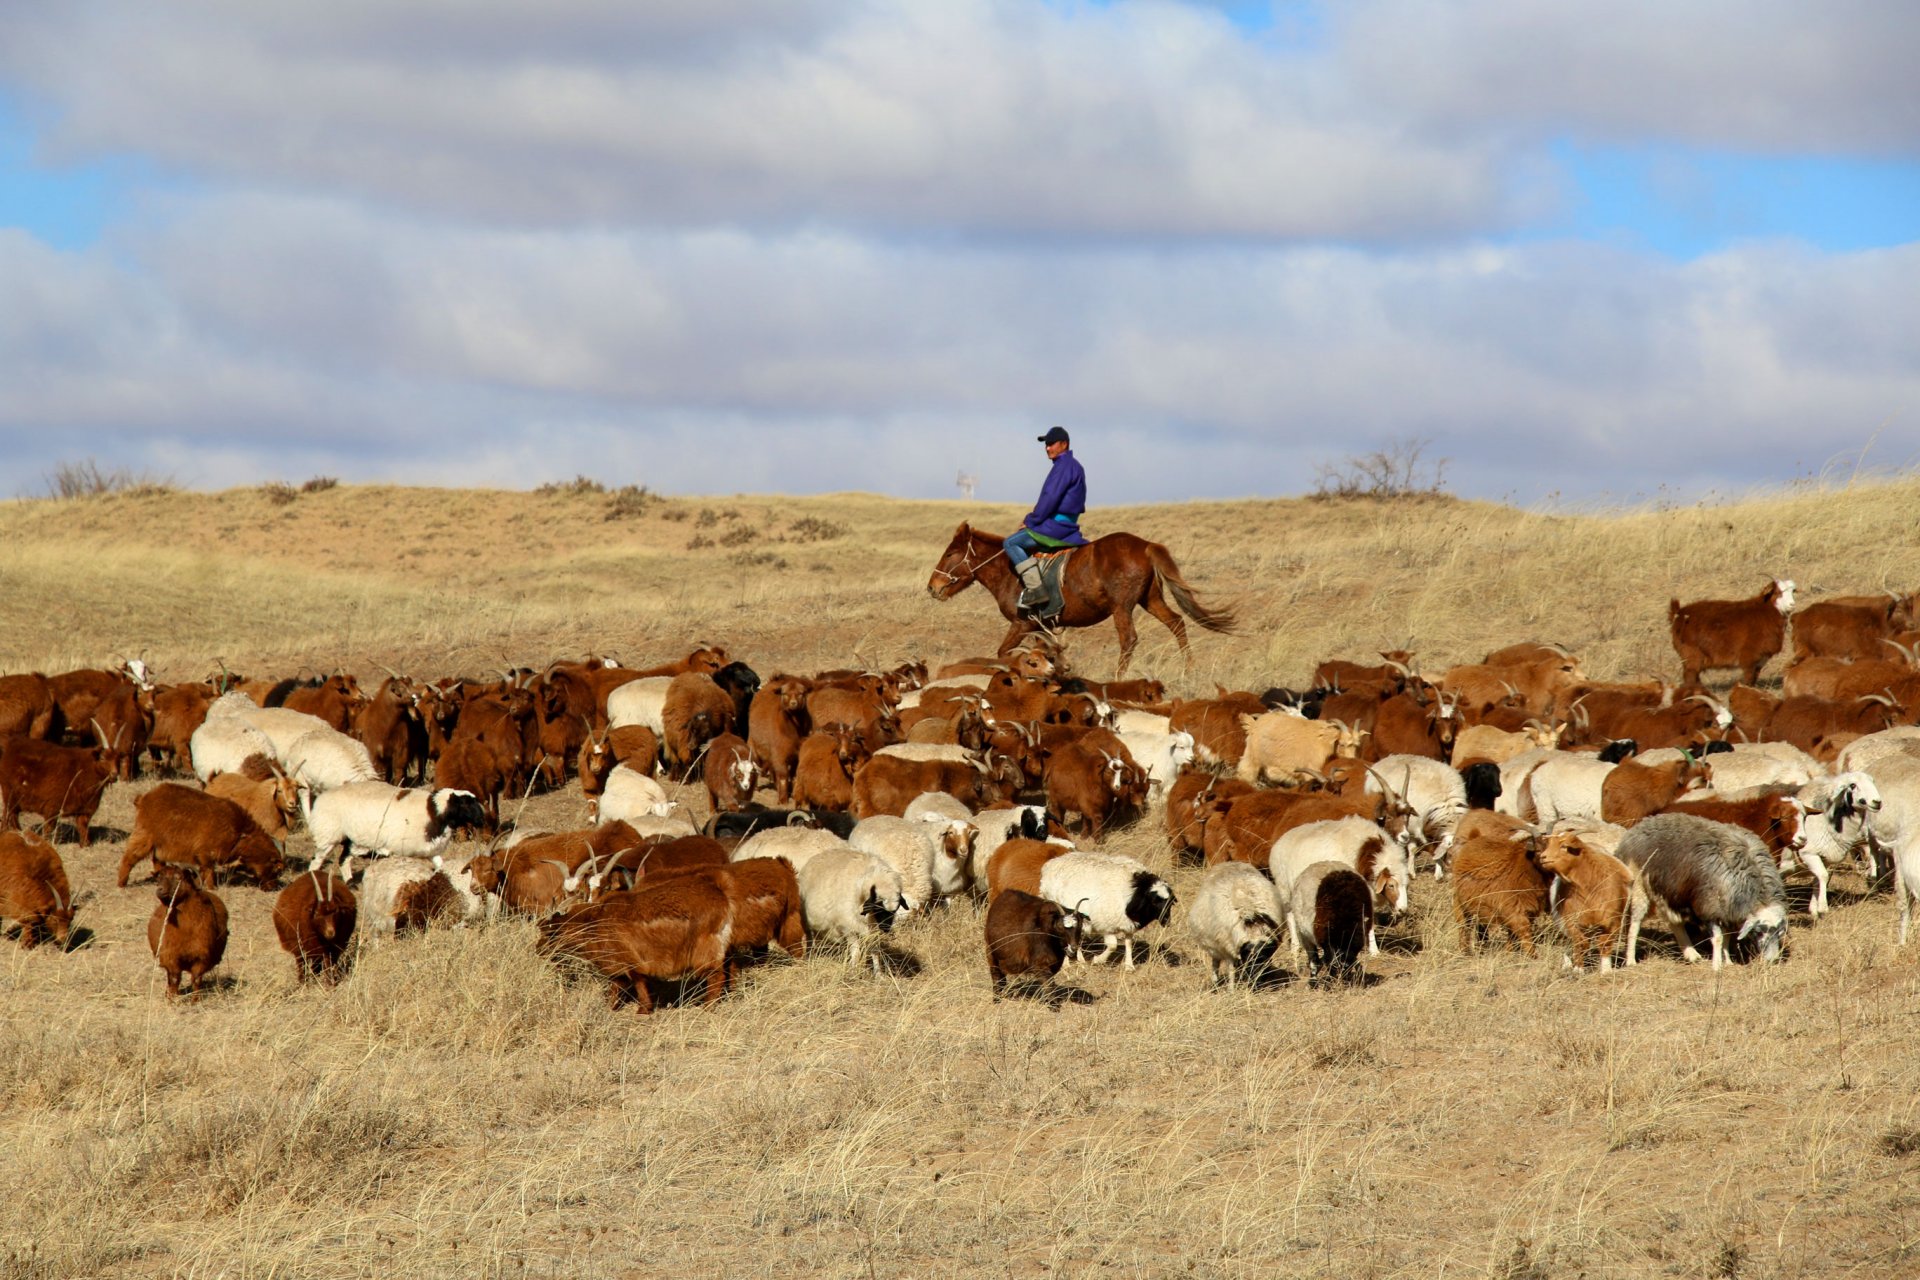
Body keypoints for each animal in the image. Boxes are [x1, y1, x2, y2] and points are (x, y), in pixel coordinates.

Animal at [301, 782, 491, 871]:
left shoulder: (431, 851)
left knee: (344, 859)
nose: (482, 820)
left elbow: (440, 866)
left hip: (355, 840)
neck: (435, 812)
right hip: (327, 834)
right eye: (466, 803)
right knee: (316, 860)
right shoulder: (399, 850)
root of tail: (321, 797)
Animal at [933, 521, 1244, 679]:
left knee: (1129, 639)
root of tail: (1145, 545)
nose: (932, 586)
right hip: (1150, 599)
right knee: (1177, 623)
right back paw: (1189, 671)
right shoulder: (1043, 628)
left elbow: (1002, 653)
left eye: (950, 554)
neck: (1009, 571)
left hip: (1122, 607)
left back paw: (1117, 680)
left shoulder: (1023, 624)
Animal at [1036, 852, 1167, 971]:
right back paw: (1067, 964)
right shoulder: (1106, 925)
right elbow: (1113, 946)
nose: (1166, 921)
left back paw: (1080, 961)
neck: (1134, 891)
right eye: (1155, 901)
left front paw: (1129, 966)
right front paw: (1097, 960)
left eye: (1169, 901)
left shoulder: (1128, 924)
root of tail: (1050, 864)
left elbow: (1129, 943)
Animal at [1182, 859, 1290, 990]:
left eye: (1265, 956)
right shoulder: (1229, 948)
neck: (1252, 922)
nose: (1257, 980)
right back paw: (1216, 983)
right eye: (1249, 957)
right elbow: (1231, 970)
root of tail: (1230, 863)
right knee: (1215, 963)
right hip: (1214, 946)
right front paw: (1232, 989)